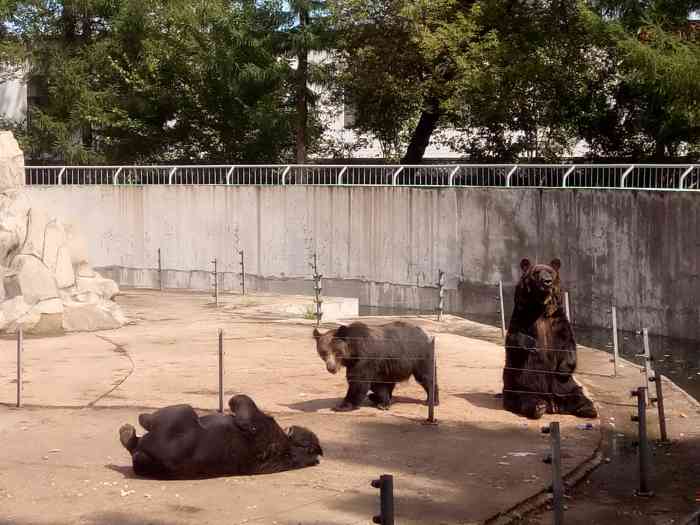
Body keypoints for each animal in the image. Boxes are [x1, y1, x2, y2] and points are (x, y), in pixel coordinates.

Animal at [504, 256, 596, 420]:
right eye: (536, 272)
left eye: (550, 272)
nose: (547, 281)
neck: (541, 309)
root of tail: (553, 404)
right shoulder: (522, 316)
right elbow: (513, 339)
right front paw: (532, 343)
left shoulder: (558, 321)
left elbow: (569, 343)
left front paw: (563, 369)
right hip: (521, 383)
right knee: (522, 397)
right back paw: (537, 407)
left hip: (564, 387)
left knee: (577, 393)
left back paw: (587, 408)